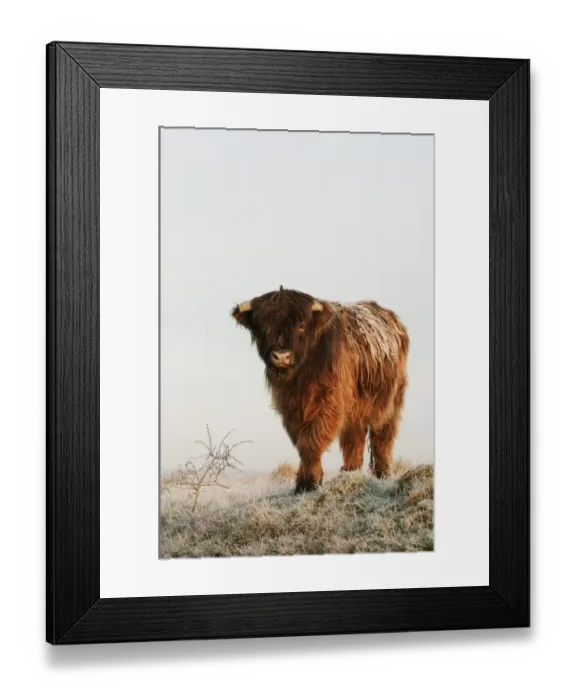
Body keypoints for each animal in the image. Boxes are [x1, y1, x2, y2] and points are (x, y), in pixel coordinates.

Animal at [232, 287, 409, 494]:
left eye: (301, 325)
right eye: (263, 325)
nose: (281, 356)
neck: (301, 376)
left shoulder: (328, 401)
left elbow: (312, 439)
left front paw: (308, 482)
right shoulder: (289, 406)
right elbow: (302, 441)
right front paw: (307, 481)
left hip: (391, 400)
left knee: (382, 437)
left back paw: (382, 474)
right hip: (355, 407)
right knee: (354, 440)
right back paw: (349, 473)